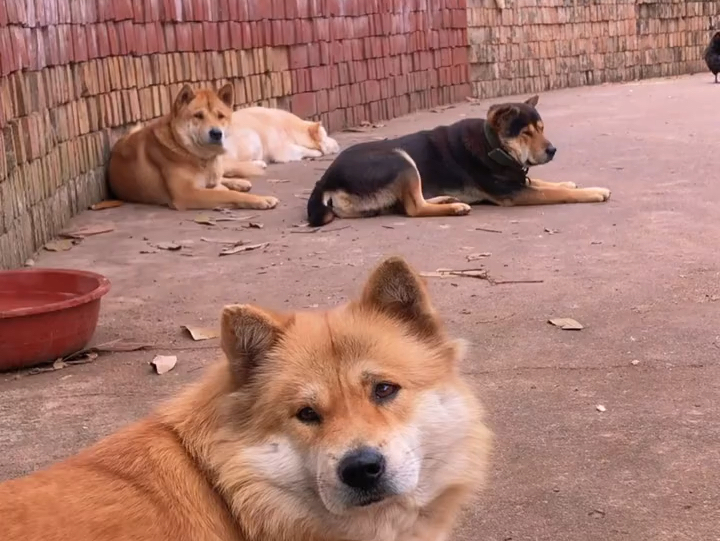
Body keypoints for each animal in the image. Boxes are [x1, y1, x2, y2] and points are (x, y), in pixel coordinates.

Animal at [108, 84, 280, 211]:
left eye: (220, 116)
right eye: (198, 116)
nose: (216, 133)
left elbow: (222, 187)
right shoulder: (187, 193)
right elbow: (229, 195)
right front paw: (261, 199)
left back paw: (240, 182)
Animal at [306, 95, 612, 226]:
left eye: (541, 128)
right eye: (525, 133)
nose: (553, 150)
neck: (492, 145)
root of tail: (325, 180)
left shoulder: (519, 179)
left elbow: (545, 181)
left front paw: (569, 182)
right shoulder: (513, 193)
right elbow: (553, 192)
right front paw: (593, 192)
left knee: (412, 200)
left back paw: (447, 200)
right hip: (399, 159)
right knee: (413, 208)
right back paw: (455, 208)